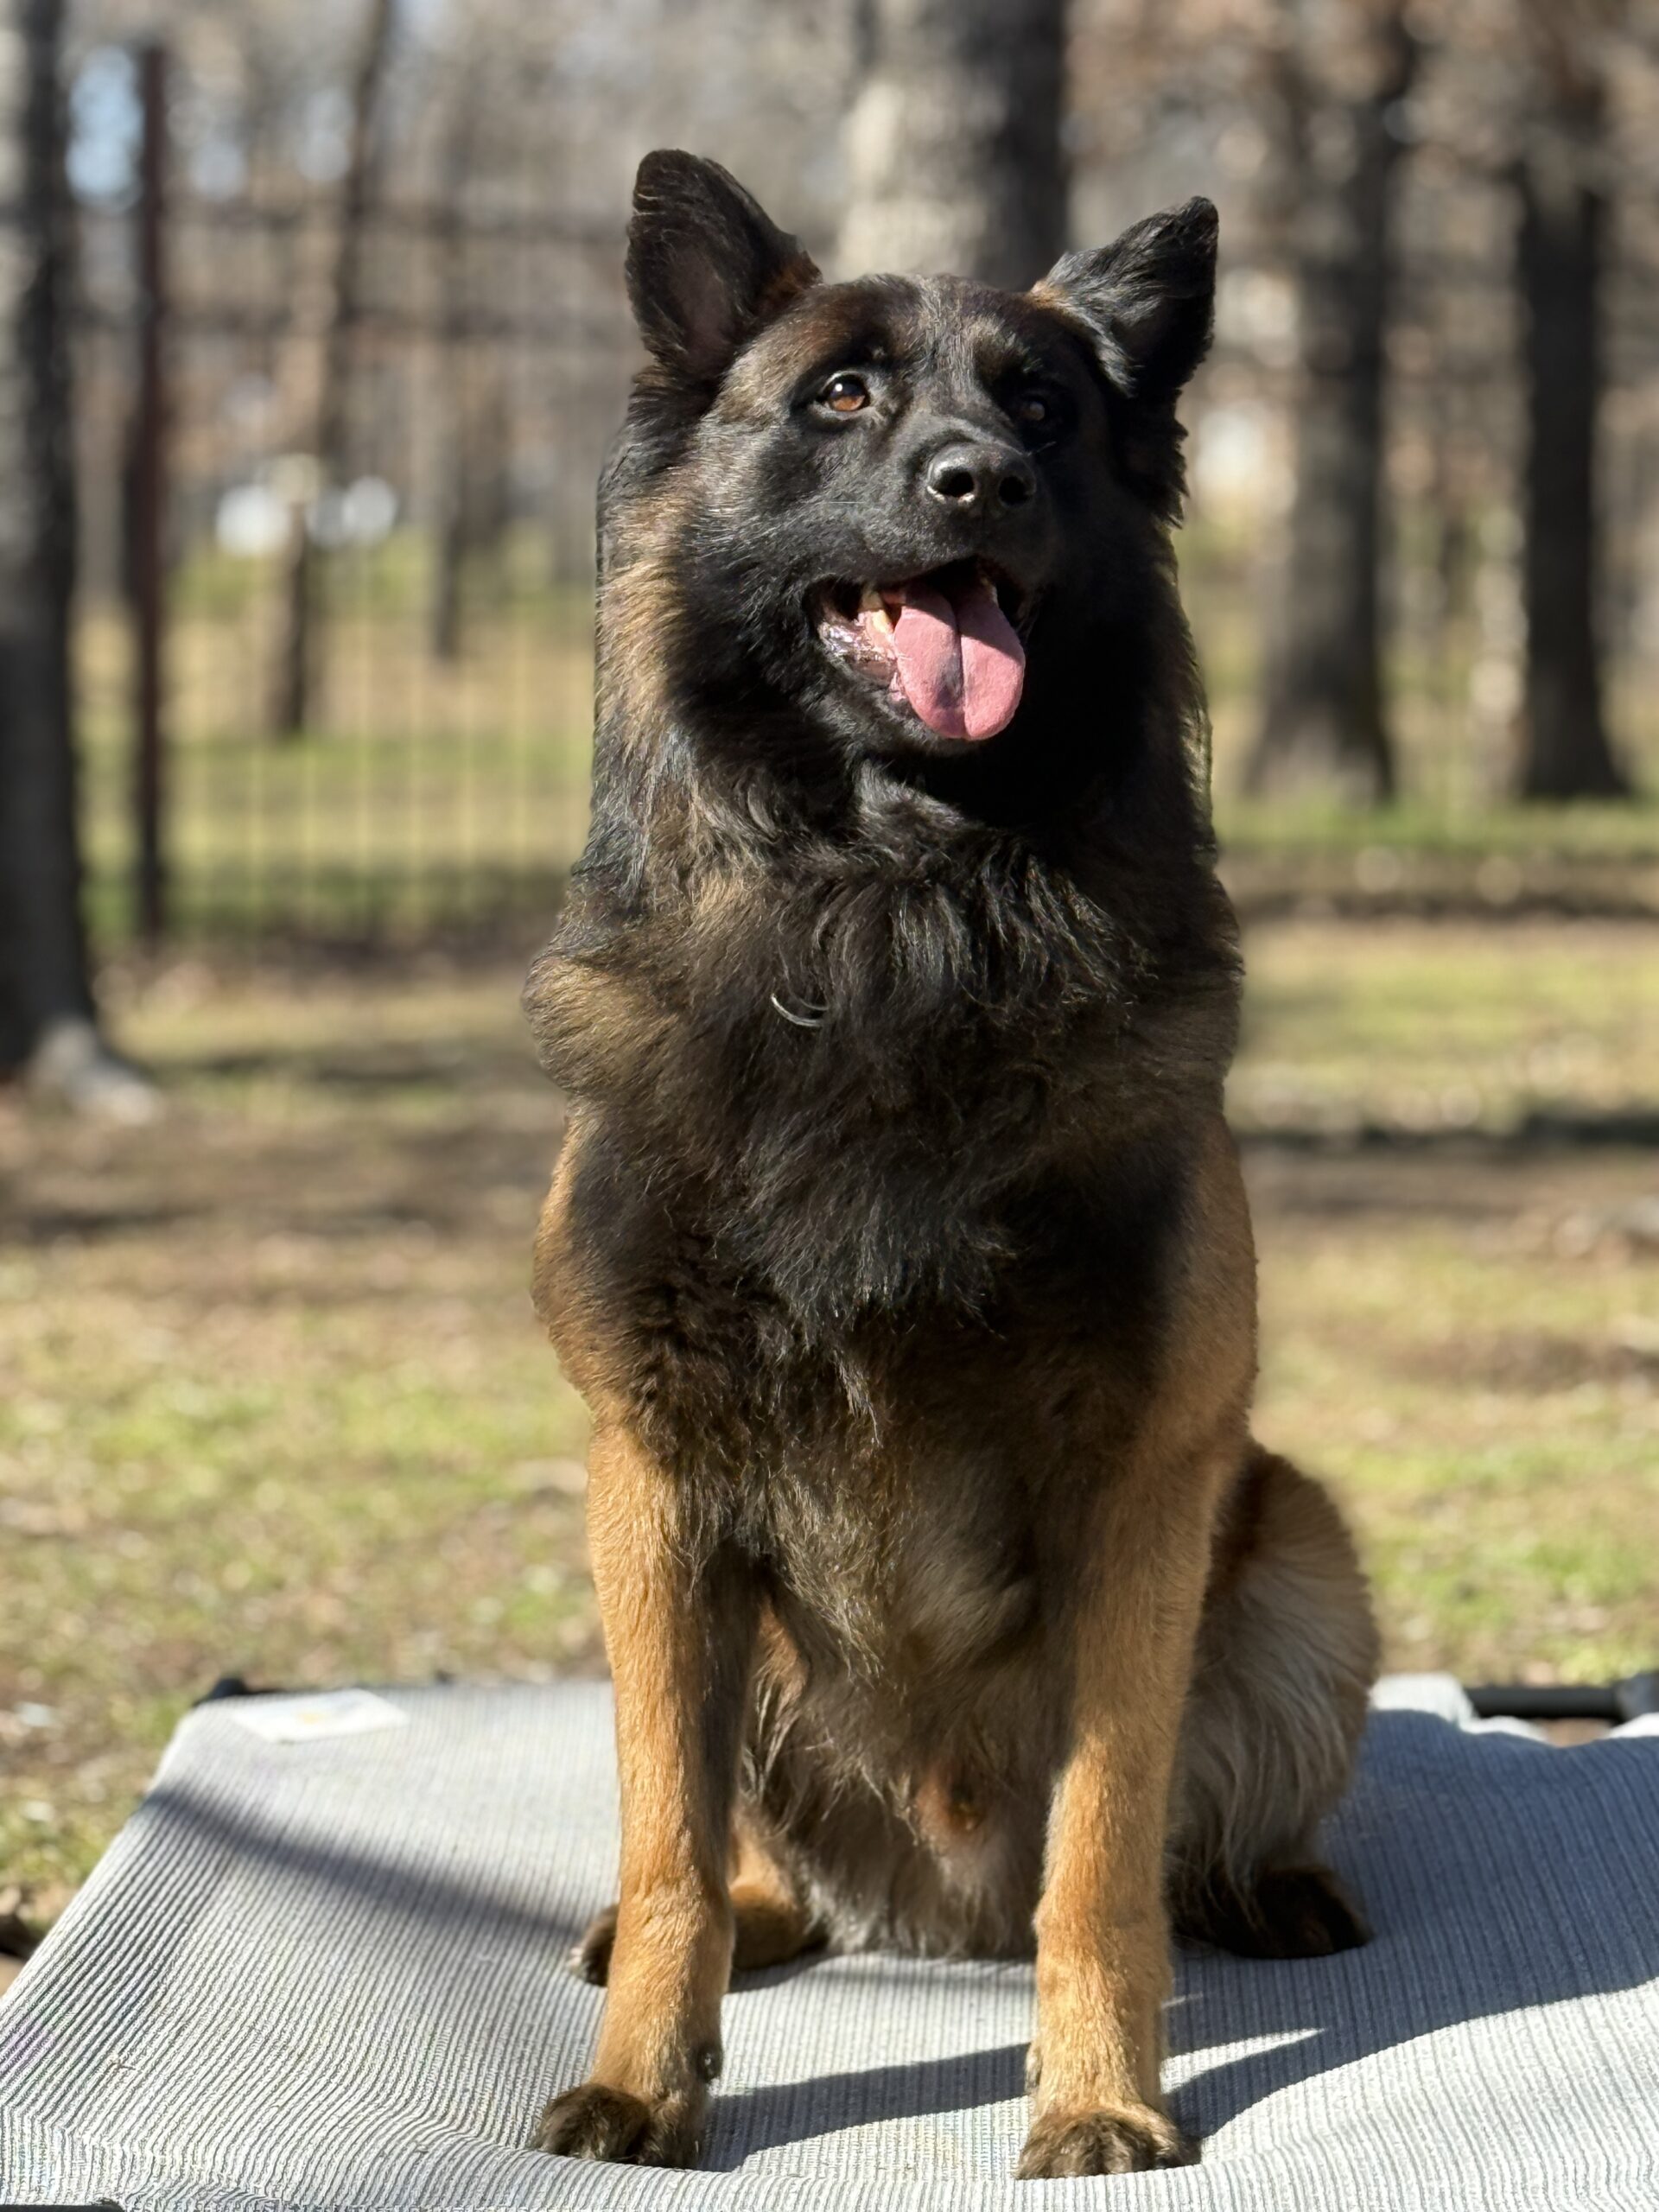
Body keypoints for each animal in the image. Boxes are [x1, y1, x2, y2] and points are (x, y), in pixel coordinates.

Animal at [526, 151, 1380, 2177]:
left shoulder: (1145, 1481)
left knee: (1197, 1830)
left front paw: (1100, 2090)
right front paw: (643, 2071)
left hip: (1300, 1548)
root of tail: (932, 1910)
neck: (899, 911)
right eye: (840, 396)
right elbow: (669, 1841)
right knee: (731, 1852)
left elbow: (1104, 1858)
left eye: (1046, 409)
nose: (975, 477)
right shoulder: (653, 1476)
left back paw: (1271, 1881)